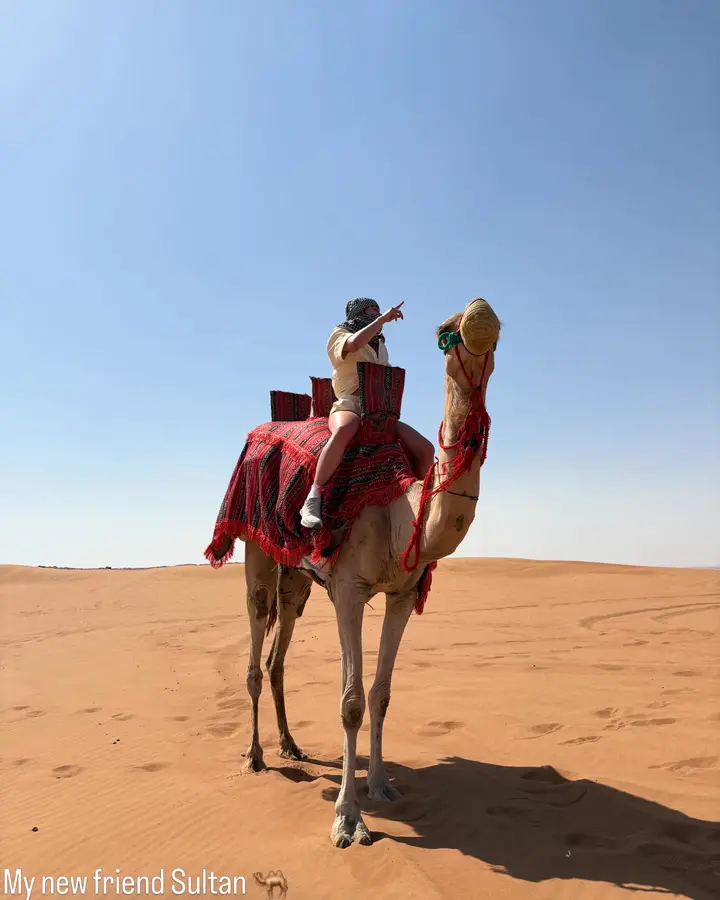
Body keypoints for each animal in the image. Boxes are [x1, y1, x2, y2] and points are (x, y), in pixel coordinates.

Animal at [239, 298, 500, 848]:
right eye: (445, 335)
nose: (480, 314)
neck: (399, 511)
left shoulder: (401, 594)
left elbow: (380, 696)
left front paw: (380, 786)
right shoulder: (350, 589)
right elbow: (351, 702)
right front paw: (347, 820)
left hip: (297, 577)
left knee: (278, 650)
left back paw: (291, 745)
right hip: (255, 544)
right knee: (256, 629)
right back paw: (255, 756)